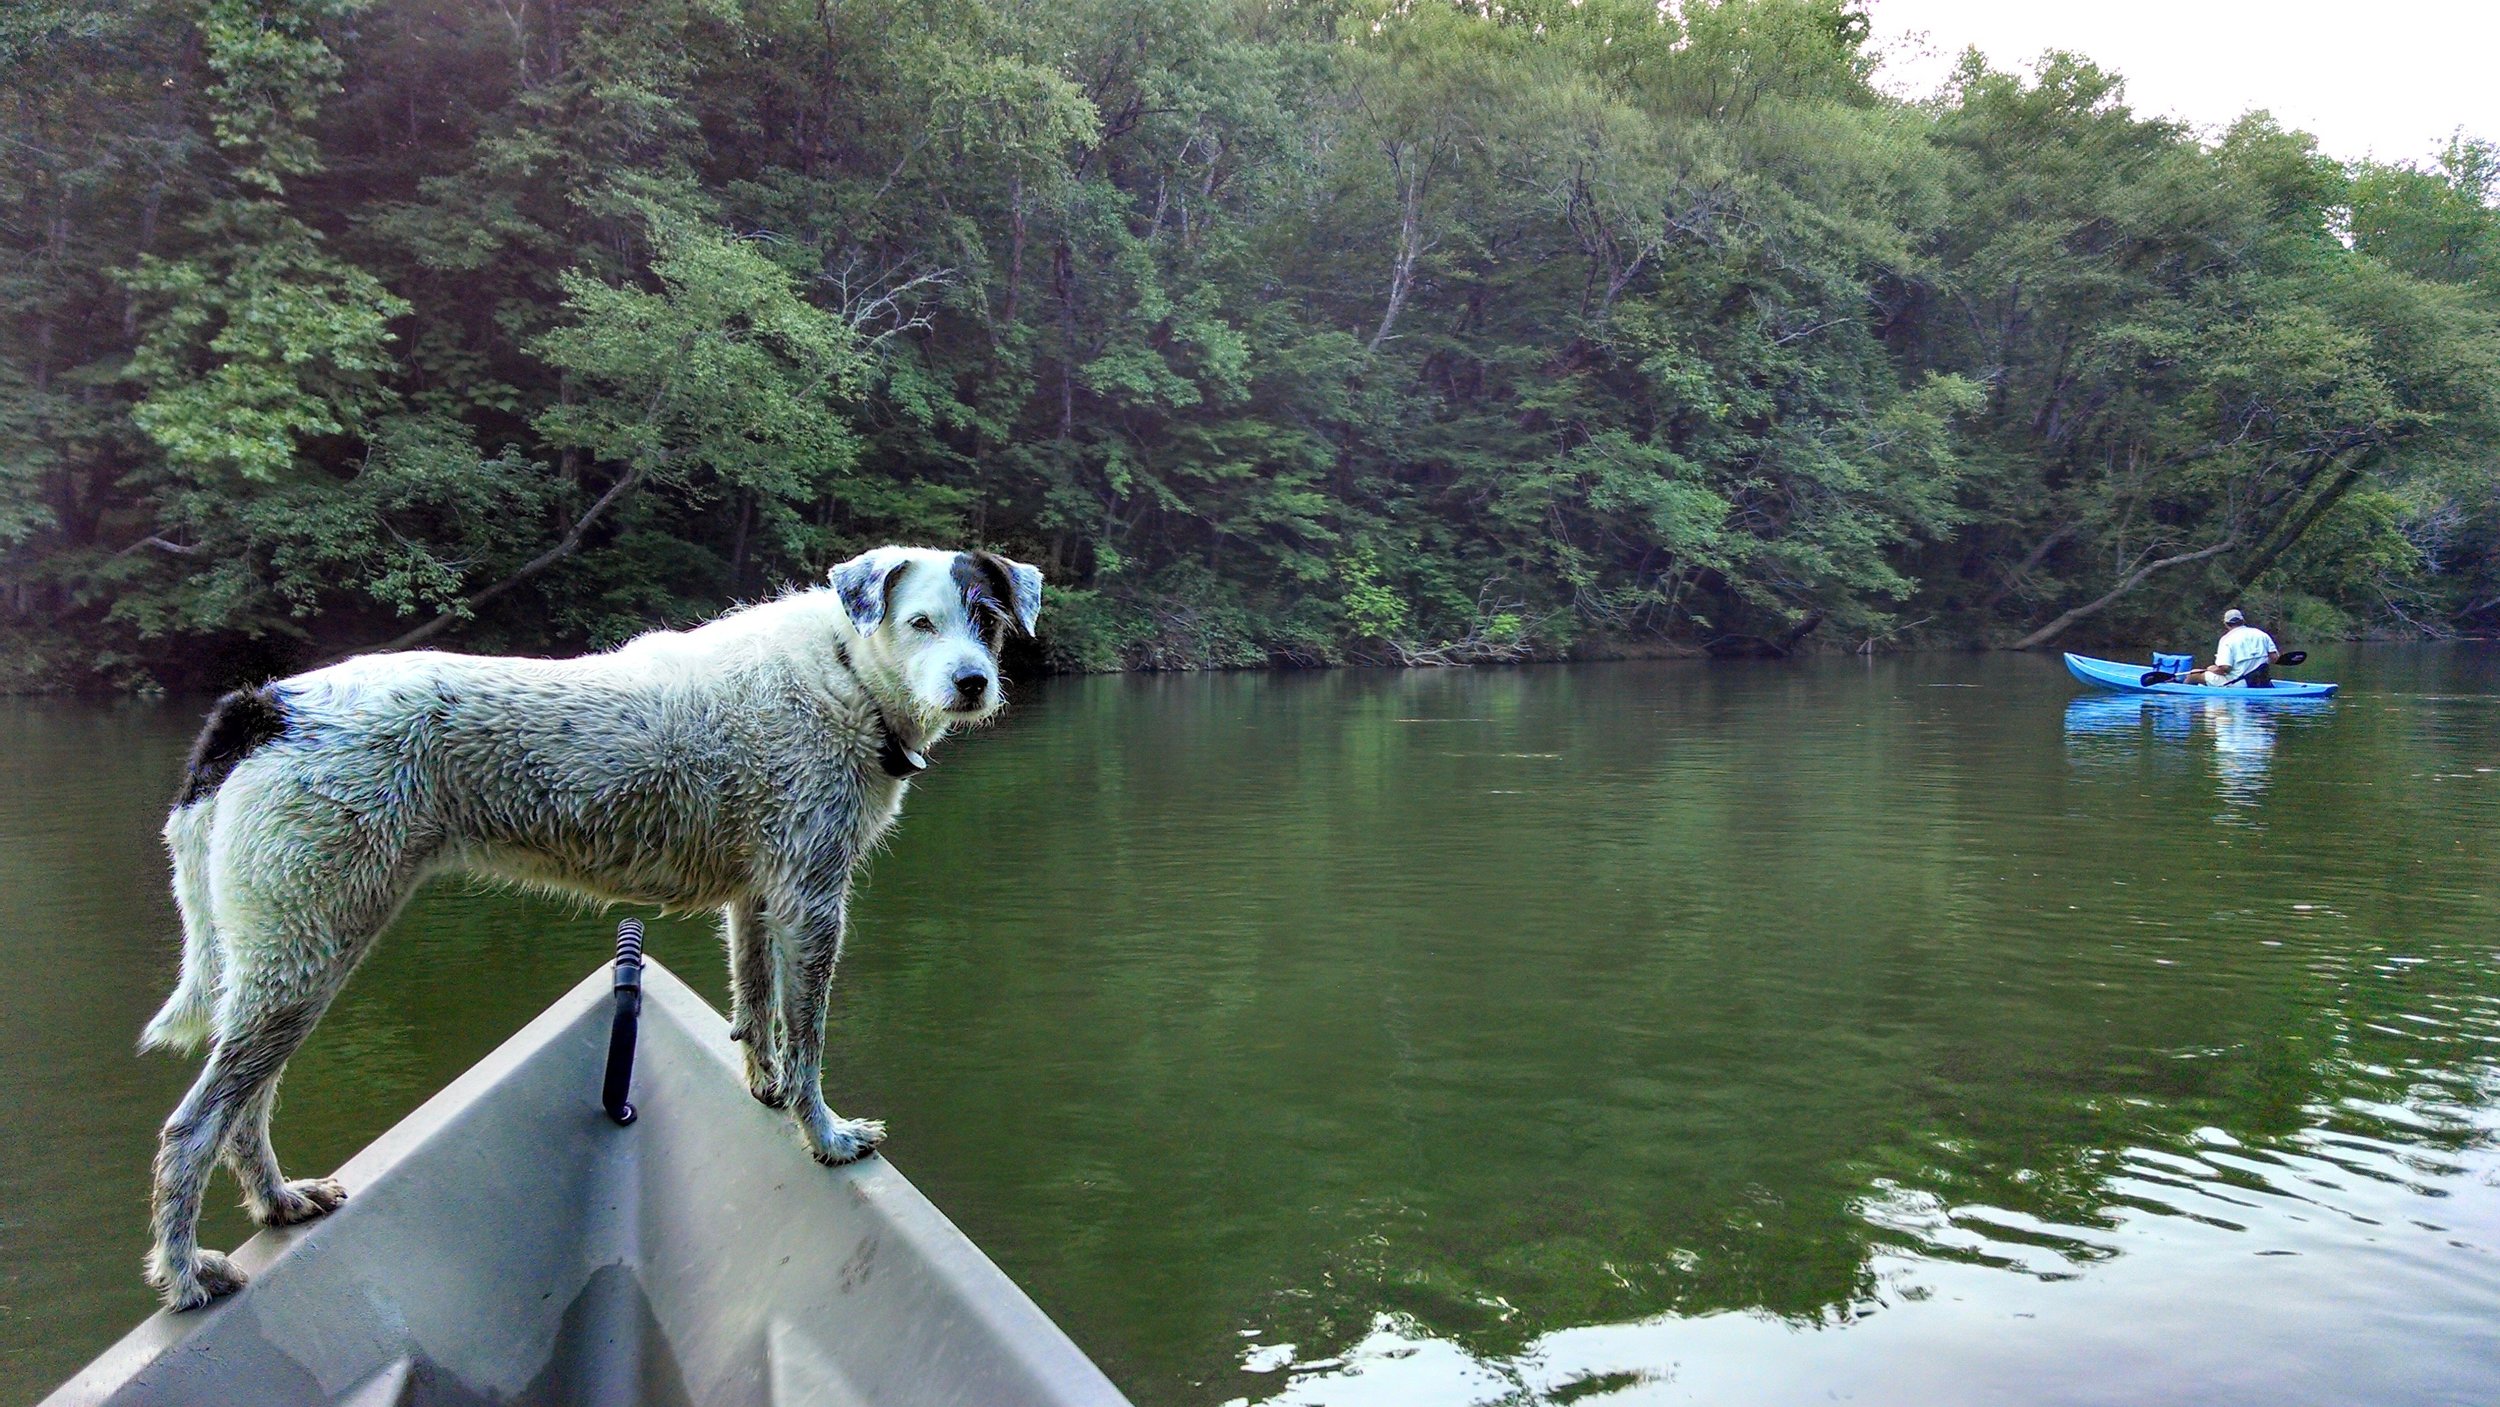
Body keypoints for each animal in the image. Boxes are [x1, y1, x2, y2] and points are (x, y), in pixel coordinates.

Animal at [139, 547, 1035, 1309]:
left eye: (986, 618)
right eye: (920, 621)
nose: (973, 682)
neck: (844, 672)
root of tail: (263, 705)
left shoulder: (758, 896)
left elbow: (755, 1008)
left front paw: (765, 1086)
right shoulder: (812, 901)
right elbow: (807, 1035)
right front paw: (824, 1132)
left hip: (291, 961)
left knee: (244, 1113)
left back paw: (279, 1202)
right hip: (306, 953)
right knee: (193, 1127)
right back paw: (185, 1274)